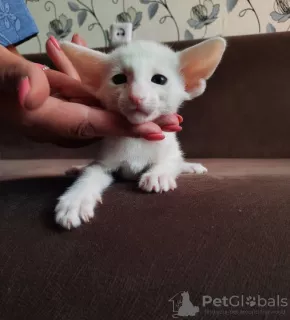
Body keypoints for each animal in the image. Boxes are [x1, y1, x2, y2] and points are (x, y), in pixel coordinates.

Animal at [54, 37, 227, 229]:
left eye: (159, 79)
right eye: (119, 79)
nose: (136, 96)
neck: (138, 140)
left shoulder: (171, 149)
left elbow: (171, 161)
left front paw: (158, 174)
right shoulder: (104, 164)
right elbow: (91, 173)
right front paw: (75, 200)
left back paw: (191, 166)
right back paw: (78, 168)